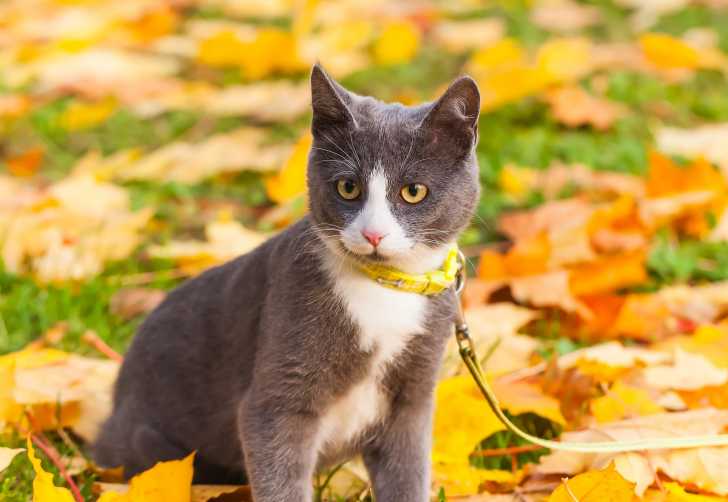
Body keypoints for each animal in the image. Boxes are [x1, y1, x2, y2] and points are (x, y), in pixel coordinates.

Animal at [95, 64, 484, 500]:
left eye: (413, 191)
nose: (373, 234)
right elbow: (276, 458)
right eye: (348, 187)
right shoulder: (278, 384)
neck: (383, 288)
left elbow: (407, 472)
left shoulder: (413, 396)